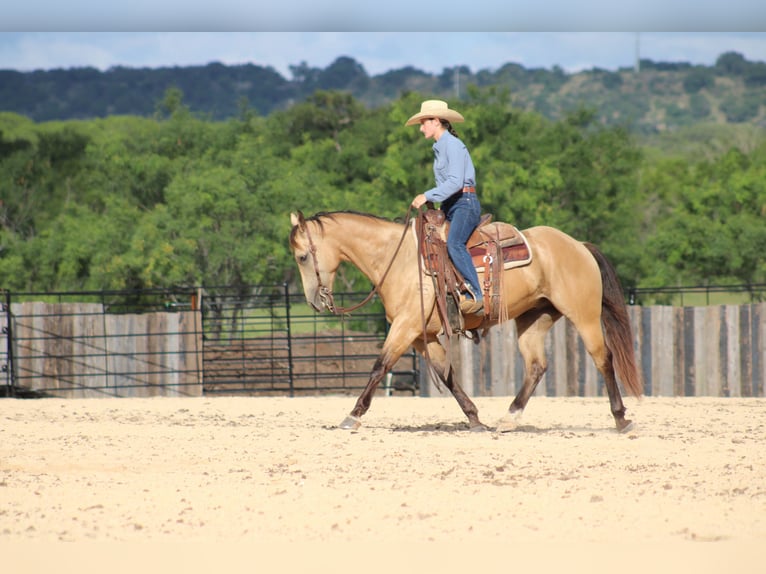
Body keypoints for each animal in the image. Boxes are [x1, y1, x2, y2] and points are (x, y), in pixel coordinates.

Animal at [289, 210, 643, 433]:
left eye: (302, 257)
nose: (314, 301)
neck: (398, 259)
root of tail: (579, 246)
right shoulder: (423, 337)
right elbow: (447, 376)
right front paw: (474, 419)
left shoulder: (405, 327)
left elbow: (380, 366)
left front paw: (353, 415)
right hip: (534, 319)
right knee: (536, 366)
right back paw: (509, 418)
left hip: (584, 316)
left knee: (604, 358)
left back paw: (621, 419)